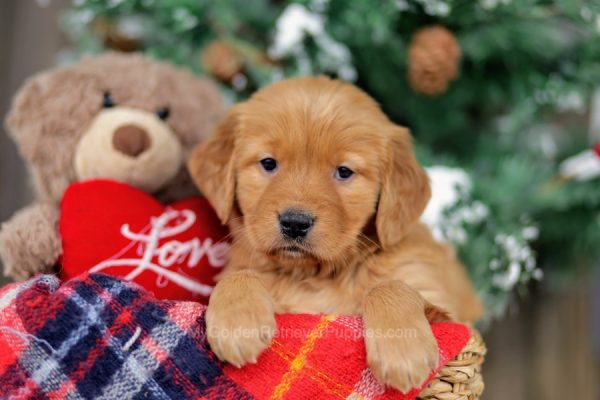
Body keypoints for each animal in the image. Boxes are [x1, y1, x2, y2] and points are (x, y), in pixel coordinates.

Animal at [188, 76, 482, 392]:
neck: (316, 276)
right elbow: (238, 276)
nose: (294, 223)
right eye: (268, 163)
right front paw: (238, 322)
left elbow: (389, 286)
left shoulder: (447, 314)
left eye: (344, 171)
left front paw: (403, 350)